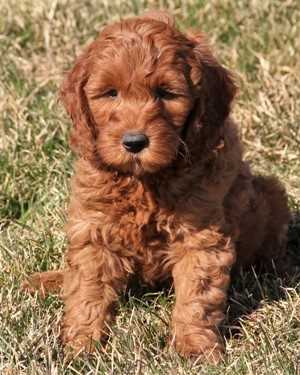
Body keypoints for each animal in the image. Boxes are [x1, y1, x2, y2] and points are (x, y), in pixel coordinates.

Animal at [23, 11, 290, 364]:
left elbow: (197, 295)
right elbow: (88, 289)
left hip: (273, 195)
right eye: (111, 93)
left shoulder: (200, 236)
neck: (145, 181)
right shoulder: (95, 228)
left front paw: (195, 346)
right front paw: (81, 346)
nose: (134, 143)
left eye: (166, 93)